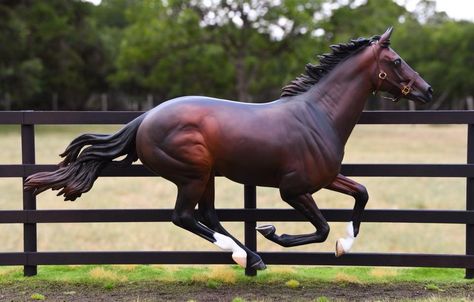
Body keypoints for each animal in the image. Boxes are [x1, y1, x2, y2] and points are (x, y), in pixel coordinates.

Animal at [25, 27, 434, 268]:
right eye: (397, 61)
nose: (427, 90)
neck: (319, 115)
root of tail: (146, 118)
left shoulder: (325, 178)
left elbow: (361, 193)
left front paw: (344, 245)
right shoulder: (293, 190)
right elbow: (319, 228)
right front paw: (274, 232)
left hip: (206, 175)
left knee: (207, 215)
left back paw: (250, 258)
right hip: (191, 175)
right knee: (184, 217)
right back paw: (243, 255)